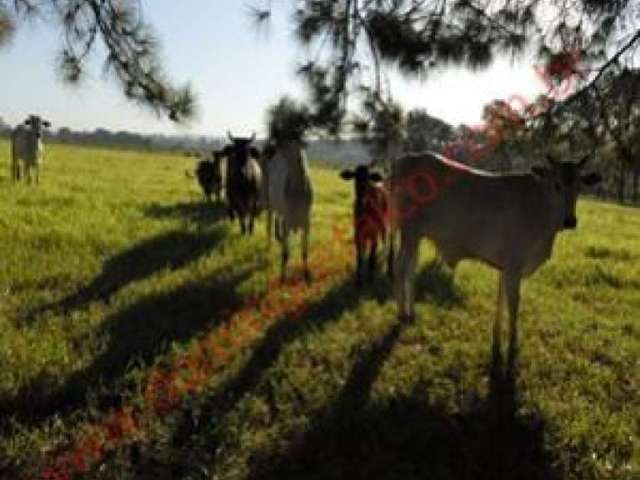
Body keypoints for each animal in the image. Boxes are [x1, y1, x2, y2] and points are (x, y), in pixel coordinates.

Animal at [266, 139, 314, 284]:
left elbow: (305, 252)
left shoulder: (306, 223)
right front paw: (282, 277)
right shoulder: (287, 222)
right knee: (269, 226)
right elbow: (285, 254)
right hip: (270, 203)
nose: (273, 147)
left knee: (277, 225)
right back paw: (268, 248)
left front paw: (307, 274)